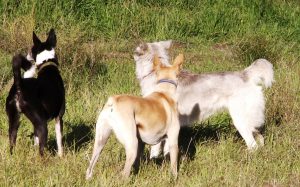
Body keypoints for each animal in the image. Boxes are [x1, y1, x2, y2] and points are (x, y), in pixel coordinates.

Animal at [5, 28, 65, 156]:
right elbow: (59, 141)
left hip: (14, 121)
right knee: (41, 151)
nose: (27, 55)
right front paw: (61, 156)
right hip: (43, 124)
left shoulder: (35, 125)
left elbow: (35, 141)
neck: (47, 64)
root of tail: (19, 85)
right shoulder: (59, 117)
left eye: (31, 49)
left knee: (12, 143)